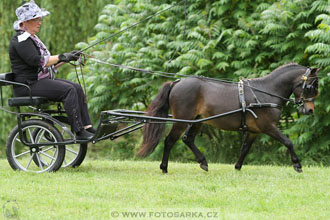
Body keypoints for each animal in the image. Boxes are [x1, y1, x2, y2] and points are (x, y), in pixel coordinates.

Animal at [137, 63, 320, 174]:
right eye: (311, 86)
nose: (310, 110)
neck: (266, 92)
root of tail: (177, 82)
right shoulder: (268, 126)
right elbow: (288, 142)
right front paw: (297, 164)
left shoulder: (253, 131)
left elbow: (245, 149)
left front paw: (237, 167)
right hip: (182, 121)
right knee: (169, 141)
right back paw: (164, 168)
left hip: (197, 121)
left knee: (187, 139)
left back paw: (203, 162)